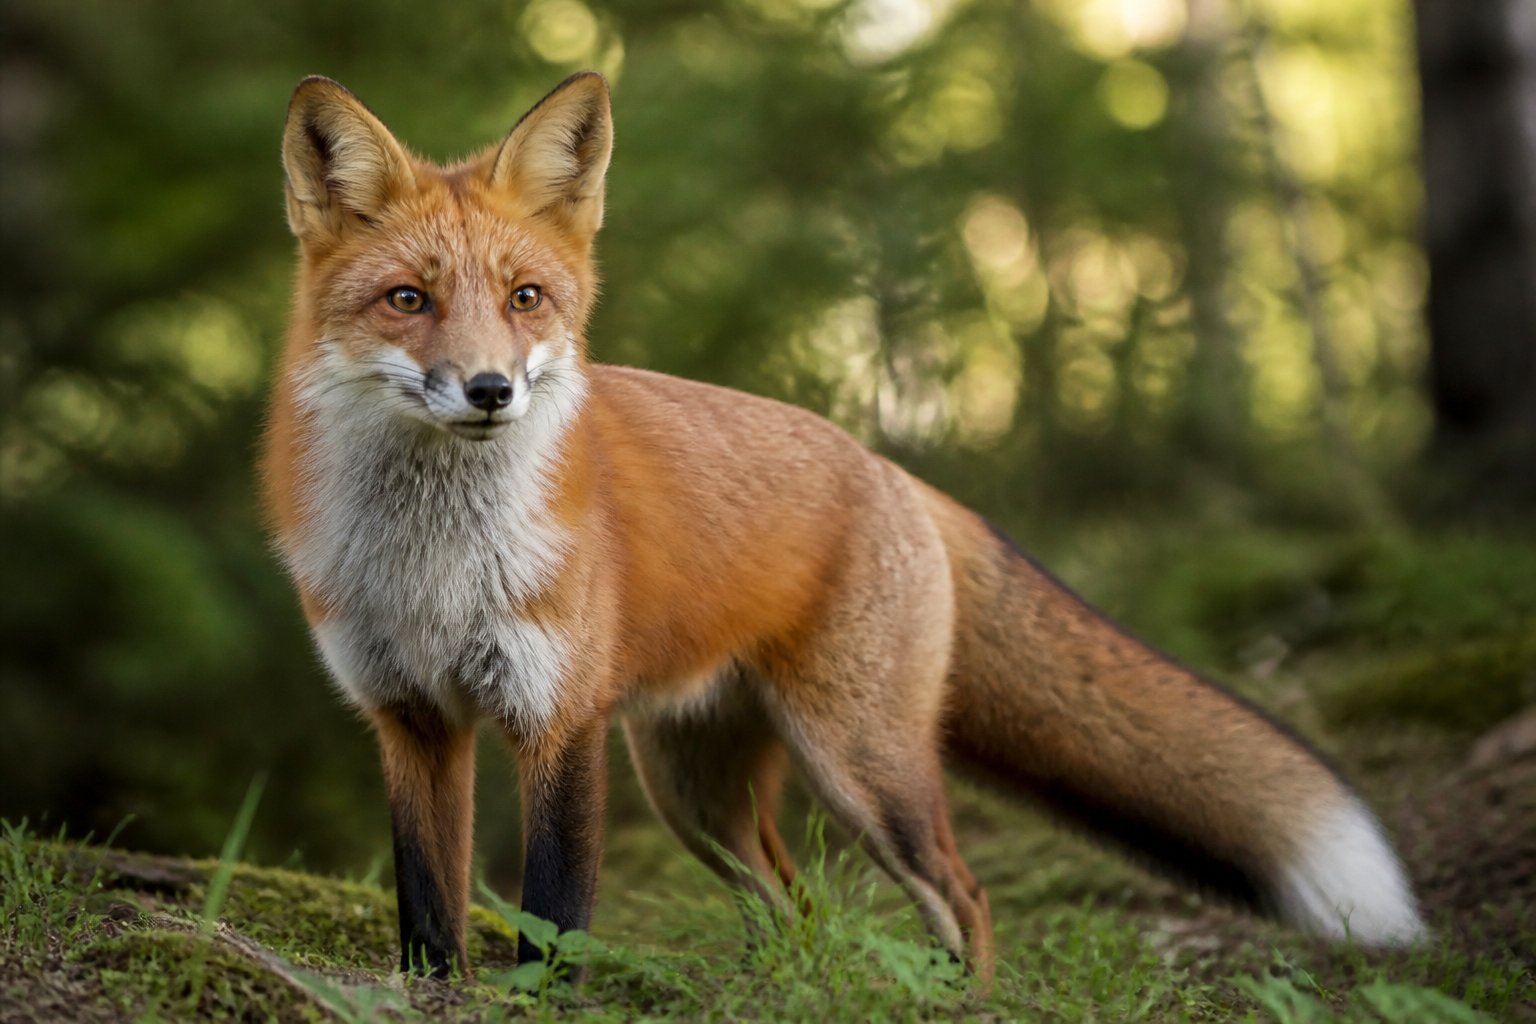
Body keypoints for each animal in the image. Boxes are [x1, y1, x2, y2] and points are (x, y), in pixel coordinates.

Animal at [262, 71, 1426, 981]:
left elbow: (553, 920)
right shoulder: (411, 717)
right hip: (695, 790)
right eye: (408, 299)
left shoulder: (560, 720)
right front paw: (431, 988)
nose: (491, 390)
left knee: (964, 896)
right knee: (793, 907)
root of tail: (894, 470)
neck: (432, 564)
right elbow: (428, 908)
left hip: (862, 765)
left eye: (525, 297)